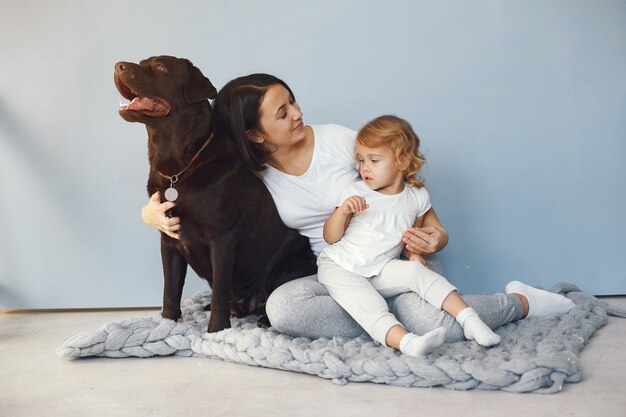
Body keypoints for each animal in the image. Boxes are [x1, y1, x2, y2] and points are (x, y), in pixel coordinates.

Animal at [112, 55, 314, 332]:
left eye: (159, 67)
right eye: (142, 62)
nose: (117, 65)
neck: (177, 169)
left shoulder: (222, 237)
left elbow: (219, 288)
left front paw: (217, 330)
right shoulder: (168, 238)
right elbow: (170, 289)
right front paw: (167, 323)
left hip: (290, 262)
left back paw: (262, 319)